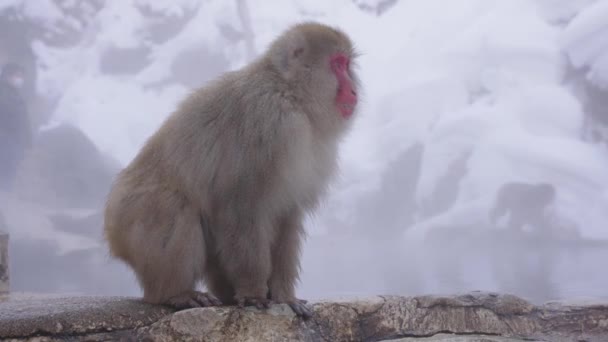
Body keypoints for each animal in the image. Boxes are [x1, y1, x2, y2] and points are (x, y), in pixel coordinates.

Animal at [103, 22, 360, 320]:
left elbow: (287, 214)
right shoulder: (270, 126)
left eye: (347, 64)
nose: (354, 90)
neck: (290, 94)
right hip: (129, 217)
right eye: (337, 64)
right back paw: (174, 292)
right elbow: (241, 206)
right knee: (174, 206)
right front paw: (253, 293)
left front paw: (285, 296)